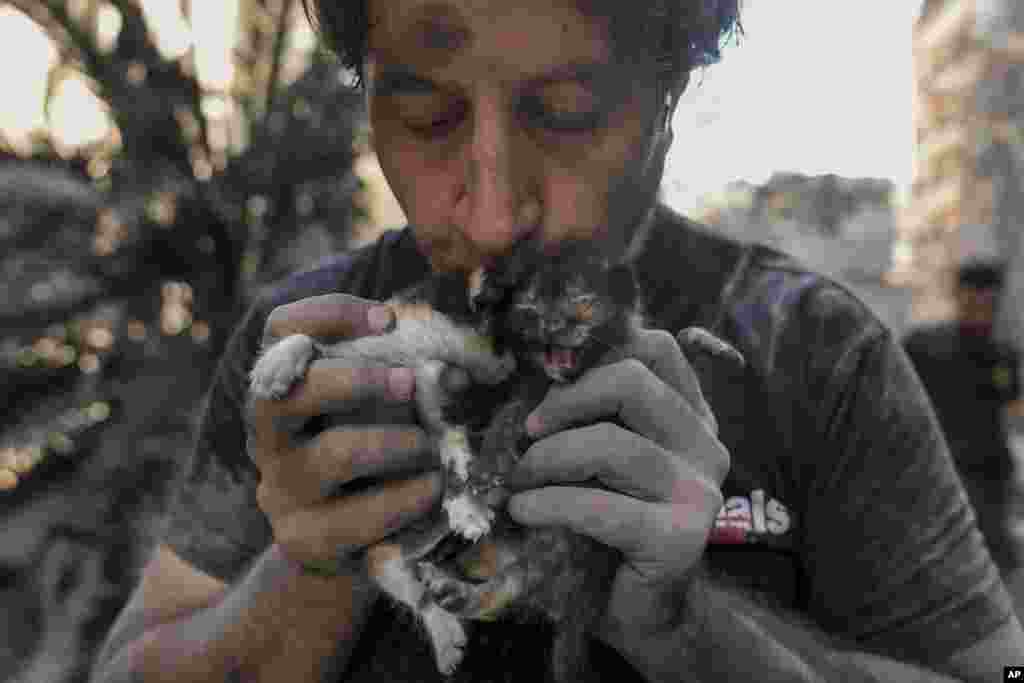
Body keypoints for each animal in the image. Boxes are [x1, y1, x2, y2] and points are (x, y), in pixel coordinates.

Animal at [250, 240, 638, 679]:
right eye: (525, 317)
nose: (517, 372)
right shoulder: (391, 361)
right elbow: (318, 344)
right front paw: (274, 366)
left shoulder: (444, 390)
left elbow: (454, 446)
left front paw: (469, 508)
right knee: (394, 569)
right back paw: (445, 626)